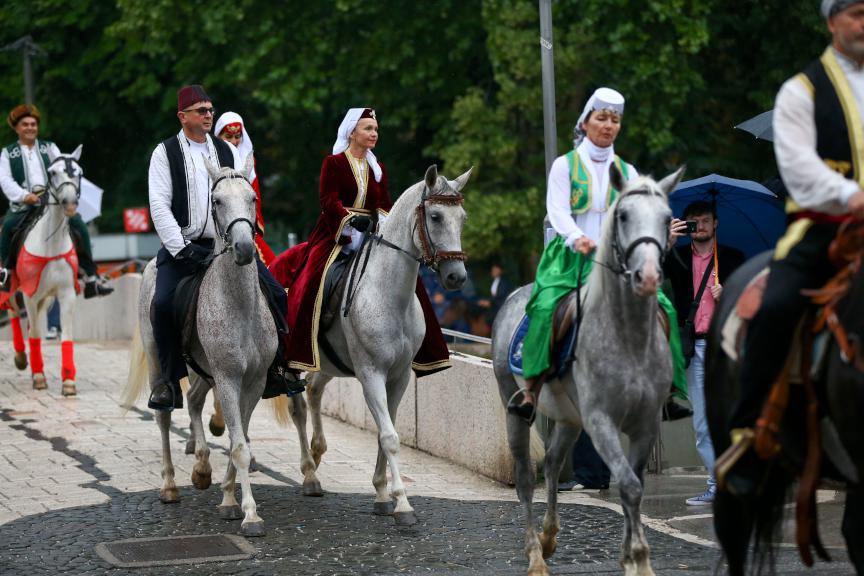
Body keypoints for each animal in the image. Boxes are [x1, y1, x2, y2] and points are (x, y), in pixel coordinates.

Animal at [0, 145, 85, 396]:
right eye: (53, 172)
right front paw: (38, 377)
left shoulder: (66, 293)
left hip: (45, 298)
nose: (69, 203)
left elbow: (66, 335)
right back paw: (21, 358)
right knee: (14, 313)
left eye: (79, 172)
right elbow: (36, 334)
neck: (50, 244)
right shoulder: (29, 293)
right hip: (14, 288)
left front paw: (68, 381)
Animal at [121, 155, 276, 536]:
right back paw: (170, 486)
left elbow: (239, 440)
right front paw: (250, 514)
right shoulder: (228, 378)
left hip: (204, 372)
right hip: (161, 363)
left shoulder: (254, 382)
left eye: (252, 198)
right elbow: (239, 446)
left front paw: (229, 499)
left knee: (192, 401)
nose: (245, 249)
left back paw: (203, 469)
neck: (240, 306)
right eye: (216, 201)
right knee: (164, 416)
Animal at [276, 163, 470, 528]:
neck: (388, 294)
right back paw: (309, 474)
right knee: (298, 409)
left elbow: (385, 431)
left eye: (462, 218)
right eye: (435, 216)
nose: (457, 277)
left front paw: (382, 494)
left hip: (327, 362)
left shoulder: (399, 376)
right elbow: (390, 437)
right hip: (293, 360)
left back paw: (318, 452)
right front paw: (403, 505)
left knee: (314, 392)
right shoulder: (371, 374)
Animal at [492, 165, 680, 576]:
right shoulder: (600, 421)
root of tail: (514, 295)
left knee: (551, 464)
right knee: (526, 478)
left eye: (666, 218)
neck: (628, 338)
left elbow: (634, 483)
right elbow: (627, 485)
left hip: (567, 418)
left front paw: (629, 557)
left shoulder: (645, 423)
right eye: (623, 215)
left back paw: (549, 538)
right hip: (515, 405)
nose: (648, 277)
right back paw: (535, 556)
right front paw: (639, 559)